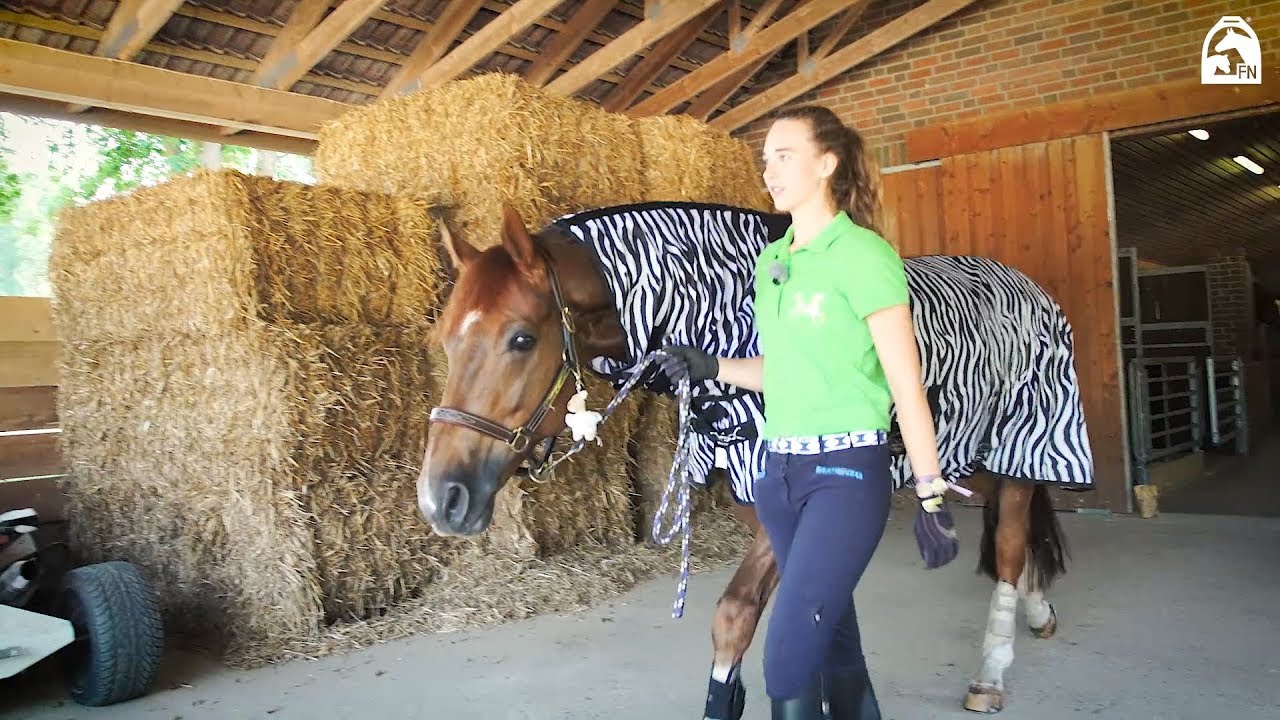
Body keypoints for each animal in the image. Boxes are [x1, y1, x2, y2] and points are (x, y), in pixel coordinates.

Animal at [418, 202, 1088, 716]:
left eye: (521, 338)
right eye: (444, 339)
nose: (440, 499)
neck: (733, 323)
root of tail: (1025, 285)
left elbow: (737, 618)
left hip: (1024, 442)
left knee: (1009, 543)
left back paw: (992, 673)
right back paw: (1038, 612)